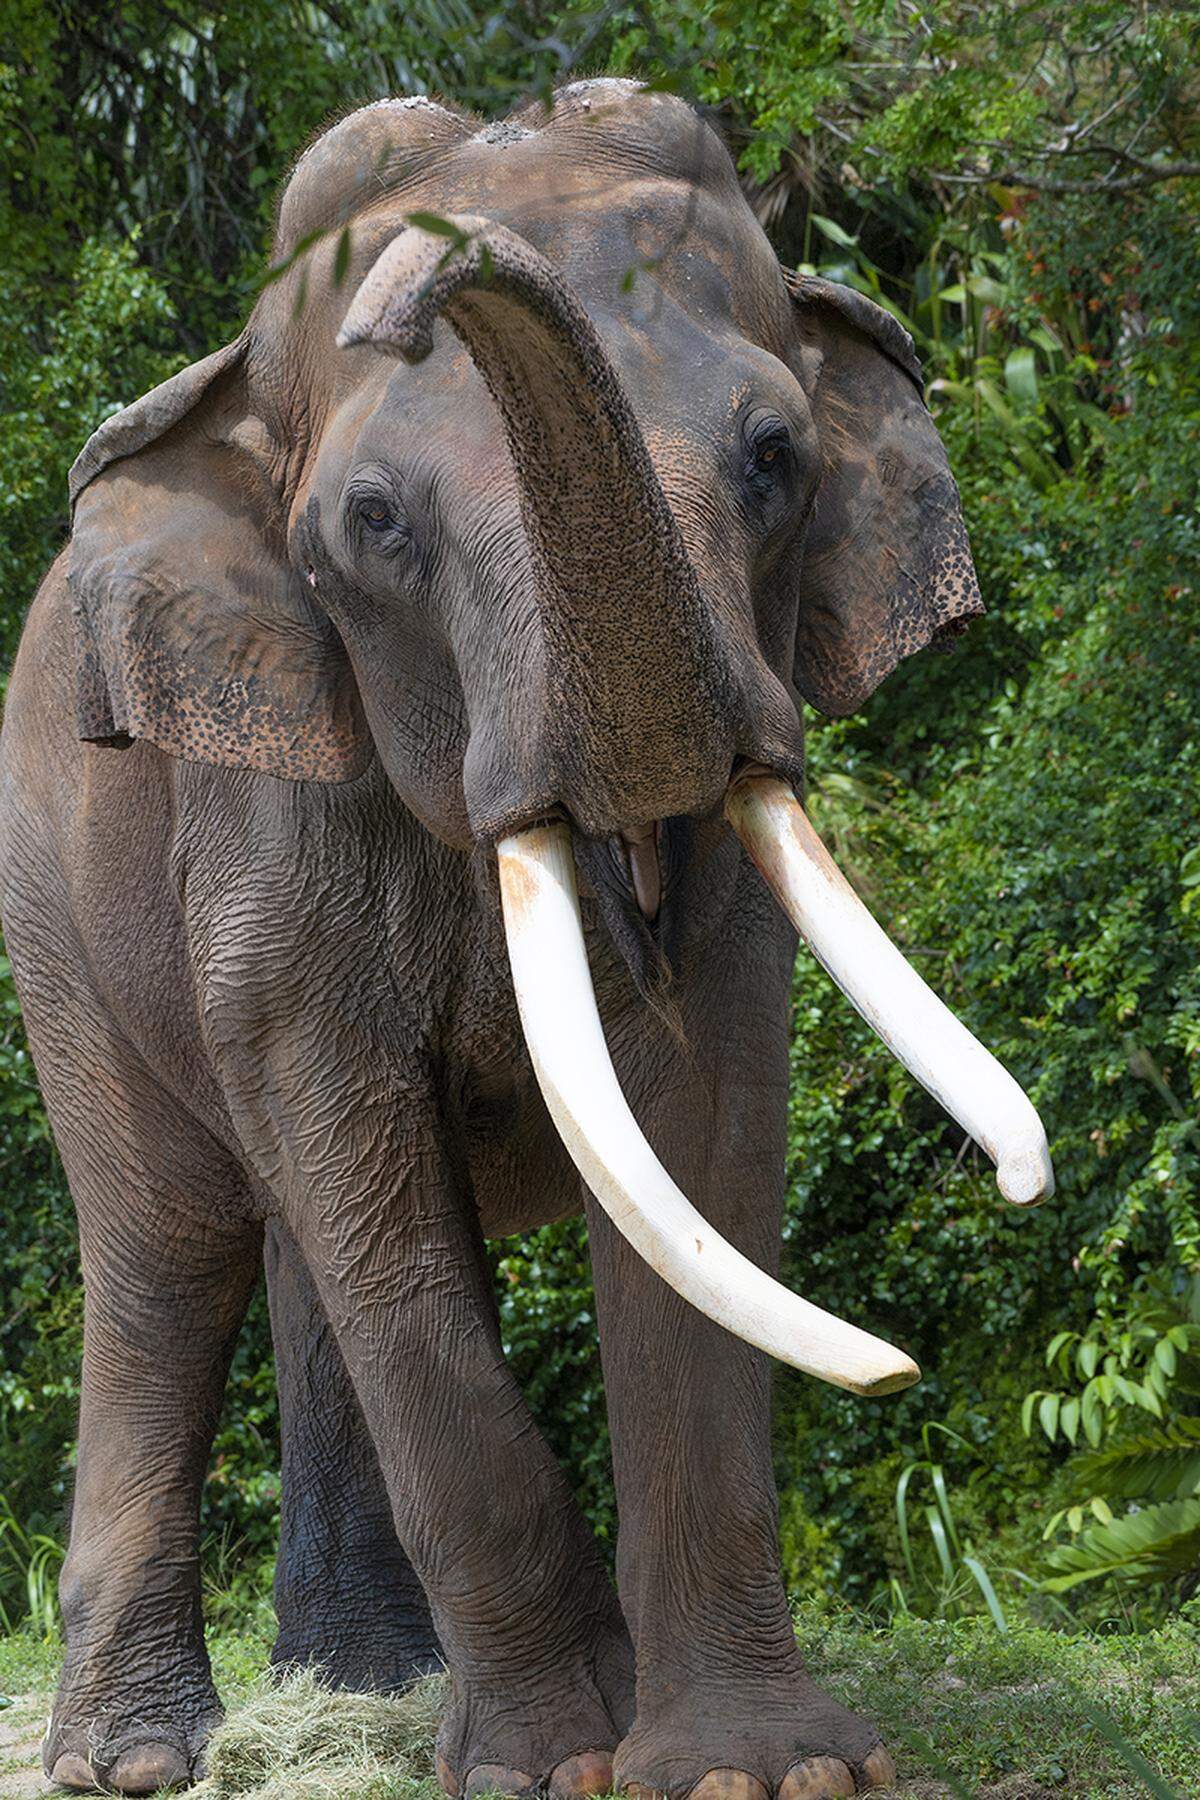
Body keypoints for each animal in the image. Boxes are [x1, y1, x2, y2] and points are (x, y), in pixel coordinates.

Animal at [0, 79, 1053, 1800]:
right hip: (57, 929)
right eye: (374, 524)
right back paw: (146, 1756)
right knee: (170, 1247)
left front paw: (753, 1770)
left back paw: (368, 1688)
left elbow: (697, 1121)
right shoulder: (269, 819)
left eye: (775, 456)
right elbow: (350, 1139)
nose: (426, 271)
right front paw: (550, 1764)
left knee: (309, 1264)